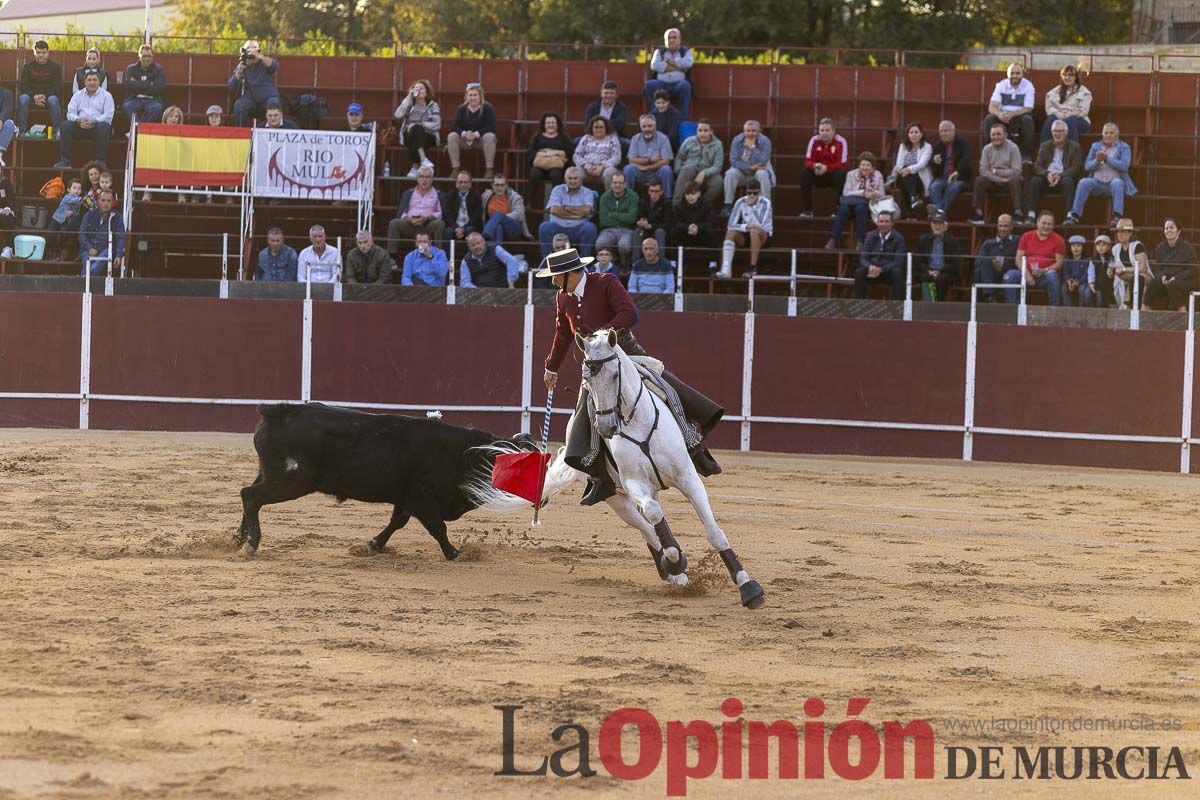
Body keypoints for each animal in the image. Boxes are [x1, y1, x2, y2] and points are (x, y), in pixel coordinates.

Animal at [235, 407, 535, 556]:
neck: (462, 454)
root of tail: (282, 411)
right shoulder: (422, 499)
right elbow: (438, 527)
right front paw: (454, 553)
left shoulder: (406, 498)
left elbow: (397, 523)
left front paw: (373, 546)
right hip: (293, 481)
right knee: (251, 496)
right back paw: (251, 544)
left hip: (272, 473)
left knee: (249, 497)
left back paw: (238, 539)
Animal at [552, 328, 768, 609]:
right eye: (586, 379)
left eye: (615, 375)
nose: (606, 427)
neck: (636, 421)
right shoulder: (634, 484)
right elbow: (655, 518)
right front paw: (674, 562)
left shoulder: (688, 478)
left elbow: (714, 533)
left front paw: (748, 587)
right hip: (616, 497)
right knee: (647, 527)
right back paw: (673, 571)